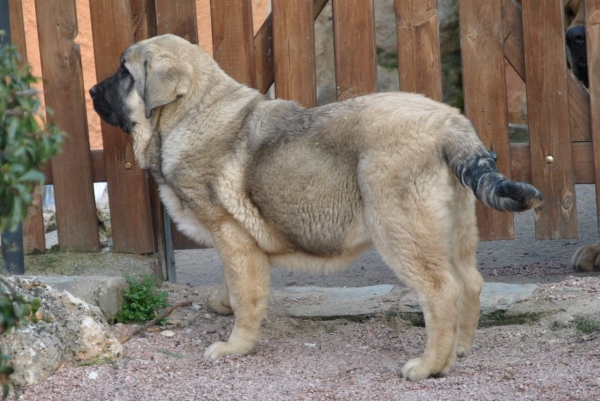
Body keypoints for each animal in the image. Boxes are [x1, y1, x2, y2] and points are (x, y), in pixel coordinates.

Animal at [90, 33, 544, 378]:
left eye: (124, 73)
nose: (92, 90)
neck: (190, 112)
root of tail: (451, 124)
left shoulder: (232, 235)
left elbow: (246, 298)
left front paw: (236, 346)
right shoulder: (237, 243)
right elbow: (234, 284)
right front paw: (222, 304)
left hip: (401, 232)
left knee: (442, 292)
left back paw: (430, 366)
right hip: (455, 231)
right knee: (470, 282)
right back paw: (460, 349)